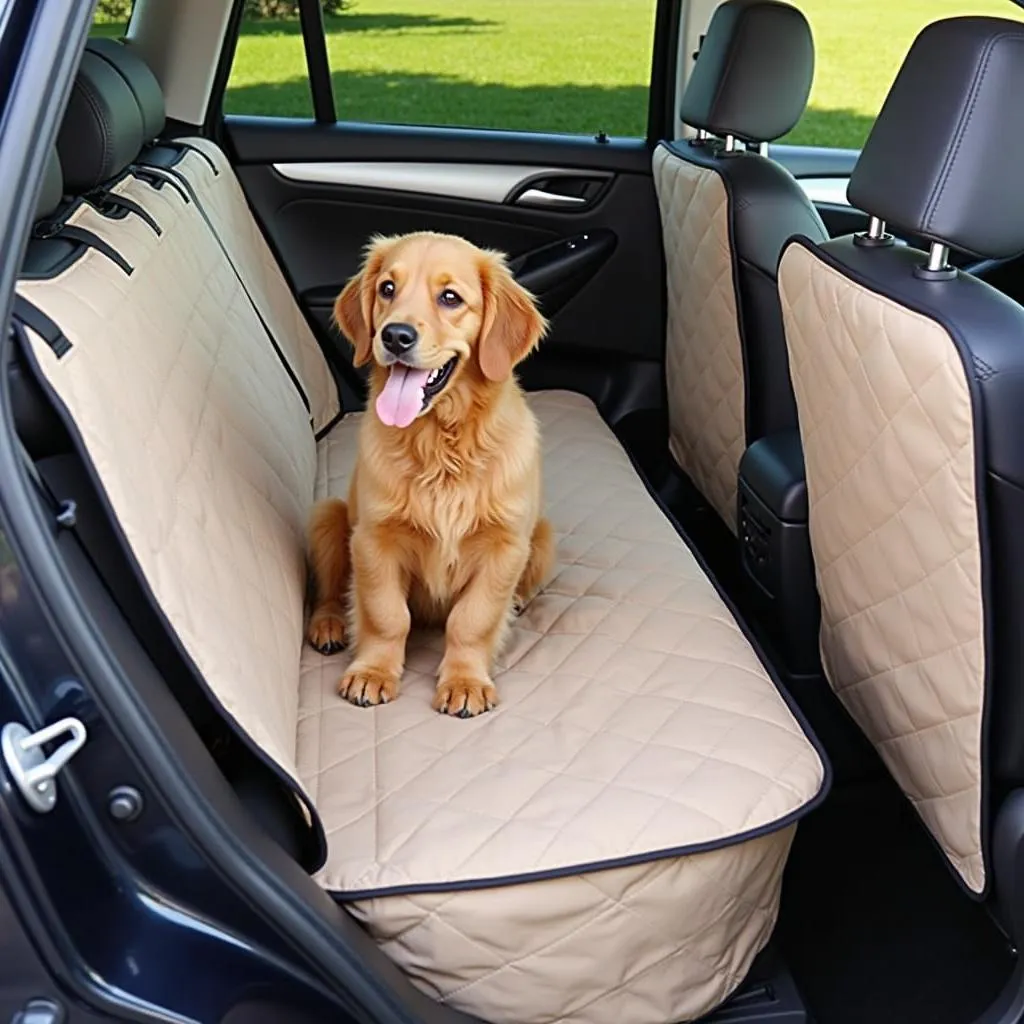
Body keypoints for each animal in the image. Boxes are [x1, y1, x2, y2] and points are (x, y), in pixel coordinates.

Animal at [305, 230, 552, 720]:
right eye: (387, 288)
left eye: (450, 297)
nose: (395, 335)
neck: (441, 443)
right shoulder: (374, 539)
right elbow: (386, 615)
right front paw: (373, 673)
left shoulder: (504, 547)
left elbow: (472, 620)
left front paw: (465, 681)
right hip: (328, 518)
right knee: (330, 591)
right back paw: (329, 624)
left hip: (543, 538)